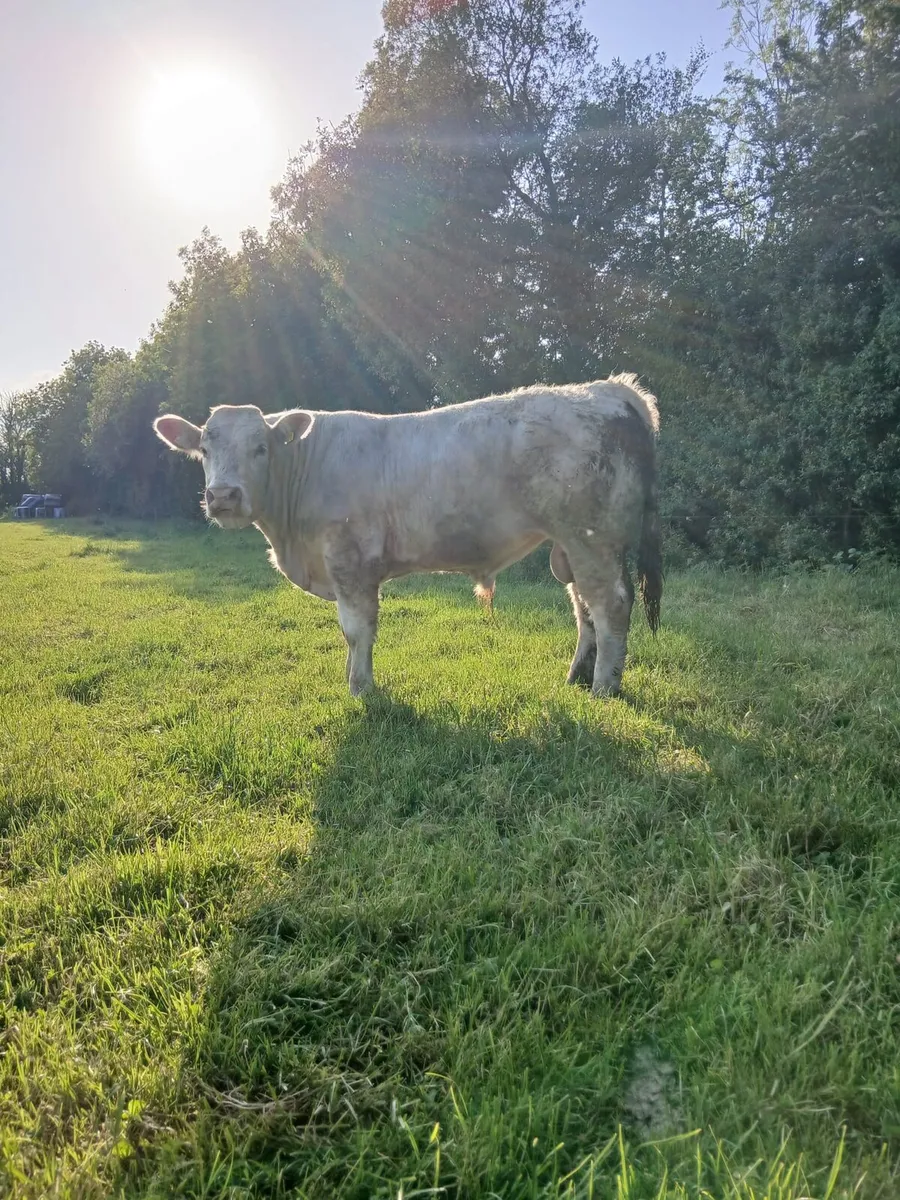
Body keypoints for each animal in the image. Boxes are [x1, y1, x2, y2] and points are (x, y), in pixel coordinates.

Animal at [153, 375, 662, 698]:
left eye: (261, 448)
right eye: (204, 448)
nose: (223, 495)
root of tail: (609, 389)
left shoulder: (350, 560)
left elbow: (356, 630)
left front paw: (360, 689)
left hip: (592, 539)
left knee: (610, 605)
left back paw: (603, 688)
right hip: (571, 547)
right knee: (583, 609)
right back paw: (577, 677)